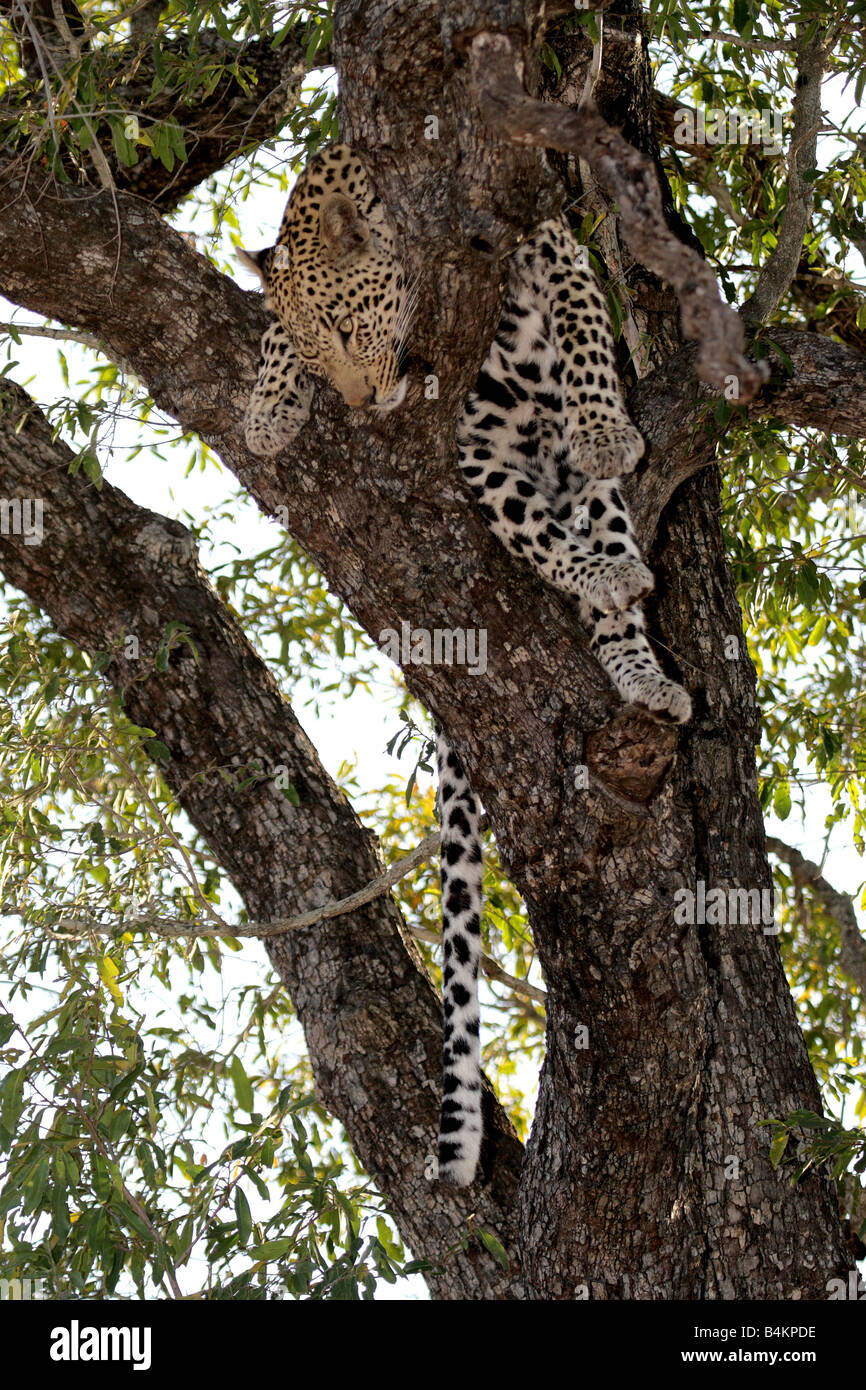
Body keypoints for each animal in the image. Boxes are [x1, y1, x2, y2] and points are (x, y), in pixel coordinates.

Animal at [240, 144, 692, 1189]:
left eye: (348, 327)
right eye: (321, 353)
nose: (363, 403)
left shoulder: (545, 232)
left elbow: (582, 316)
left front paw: (606, 422)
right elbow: (271, 318)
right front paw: (269, 406)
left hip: (573, 485)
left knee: (604, 536)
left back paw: (636, 645)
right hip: (484, 467)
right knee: (544, 539)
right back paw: (602, 586)